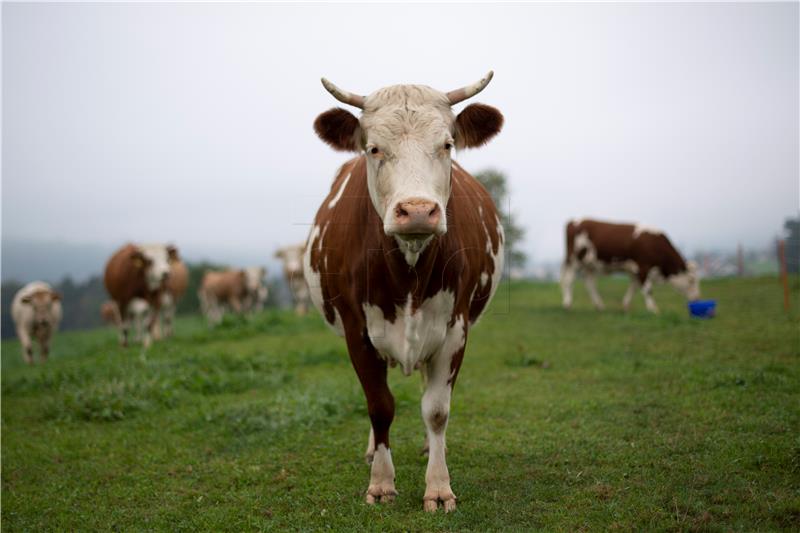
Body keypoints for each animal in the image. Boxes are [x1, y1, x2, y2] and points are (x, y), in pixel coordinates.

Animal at [304, 71, 504, 512]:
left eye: (446, 145)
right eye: (373, 147)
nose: (416, 211)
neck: (408, 271)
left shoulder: (455, 329)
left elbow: (436, 409)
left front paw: (439, 487)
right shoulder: (357, 331)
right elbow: (380, 406)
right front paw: (380, 483)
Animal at [564, 218, 700, 314]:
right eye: (691, 280)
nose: (697, 298)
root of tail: (574, 221)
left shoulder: (635, 271)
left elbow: (633, 288)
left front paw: (625, 306)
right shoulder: (643, 266)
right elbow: (648, 290)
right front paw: (654, 309)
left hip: (590, 265)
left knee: (590, 283)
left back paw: (599, 306)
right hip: (574, 260)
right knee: (569, 280)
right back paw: (567, 304)